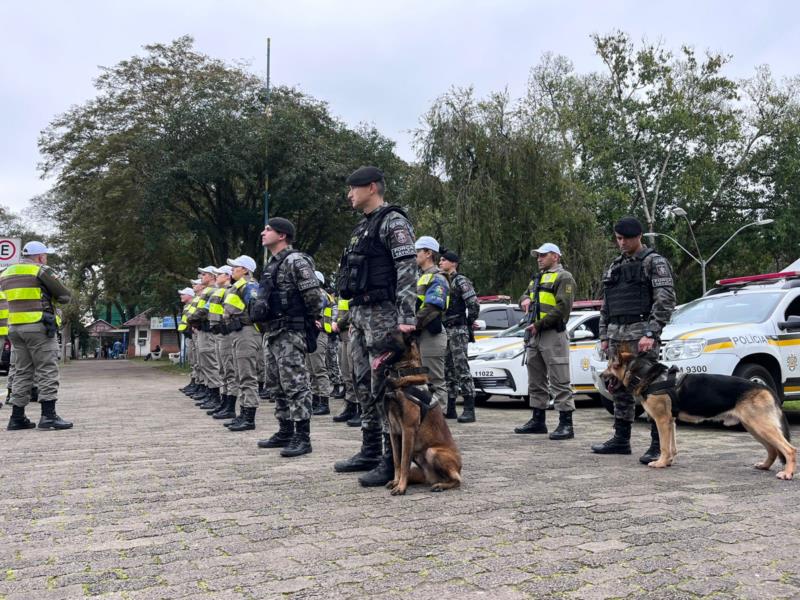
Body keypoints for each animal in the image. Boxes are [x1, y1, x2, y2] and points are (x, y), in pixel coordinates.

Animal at [370, 330, 462, 494]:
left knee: (458, 480)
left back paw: (440, 485)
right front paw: (396, 481)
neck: (402, 376)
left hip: (432, 452)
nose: (368, 346)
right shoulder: (394, 431)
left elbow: (404, 461)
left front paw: (401, 487)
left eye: (389, 336)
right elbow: (397, 461)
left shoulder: (408, 429)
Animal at [608, 354, 792, 480]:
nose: (602, 375)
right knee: (773, 450)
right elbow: (672, 447)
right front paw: (668, 462)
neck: (647, 375)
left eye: (609, 367)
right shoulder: (671, 422)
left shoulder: (662, 421)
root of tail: (766, 388)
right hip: (754, 428)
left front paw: (660, 463)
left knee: (789, 449)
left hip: (761, 427)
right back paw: (765, 466)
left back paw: (787, 473)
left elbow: (664, 446)